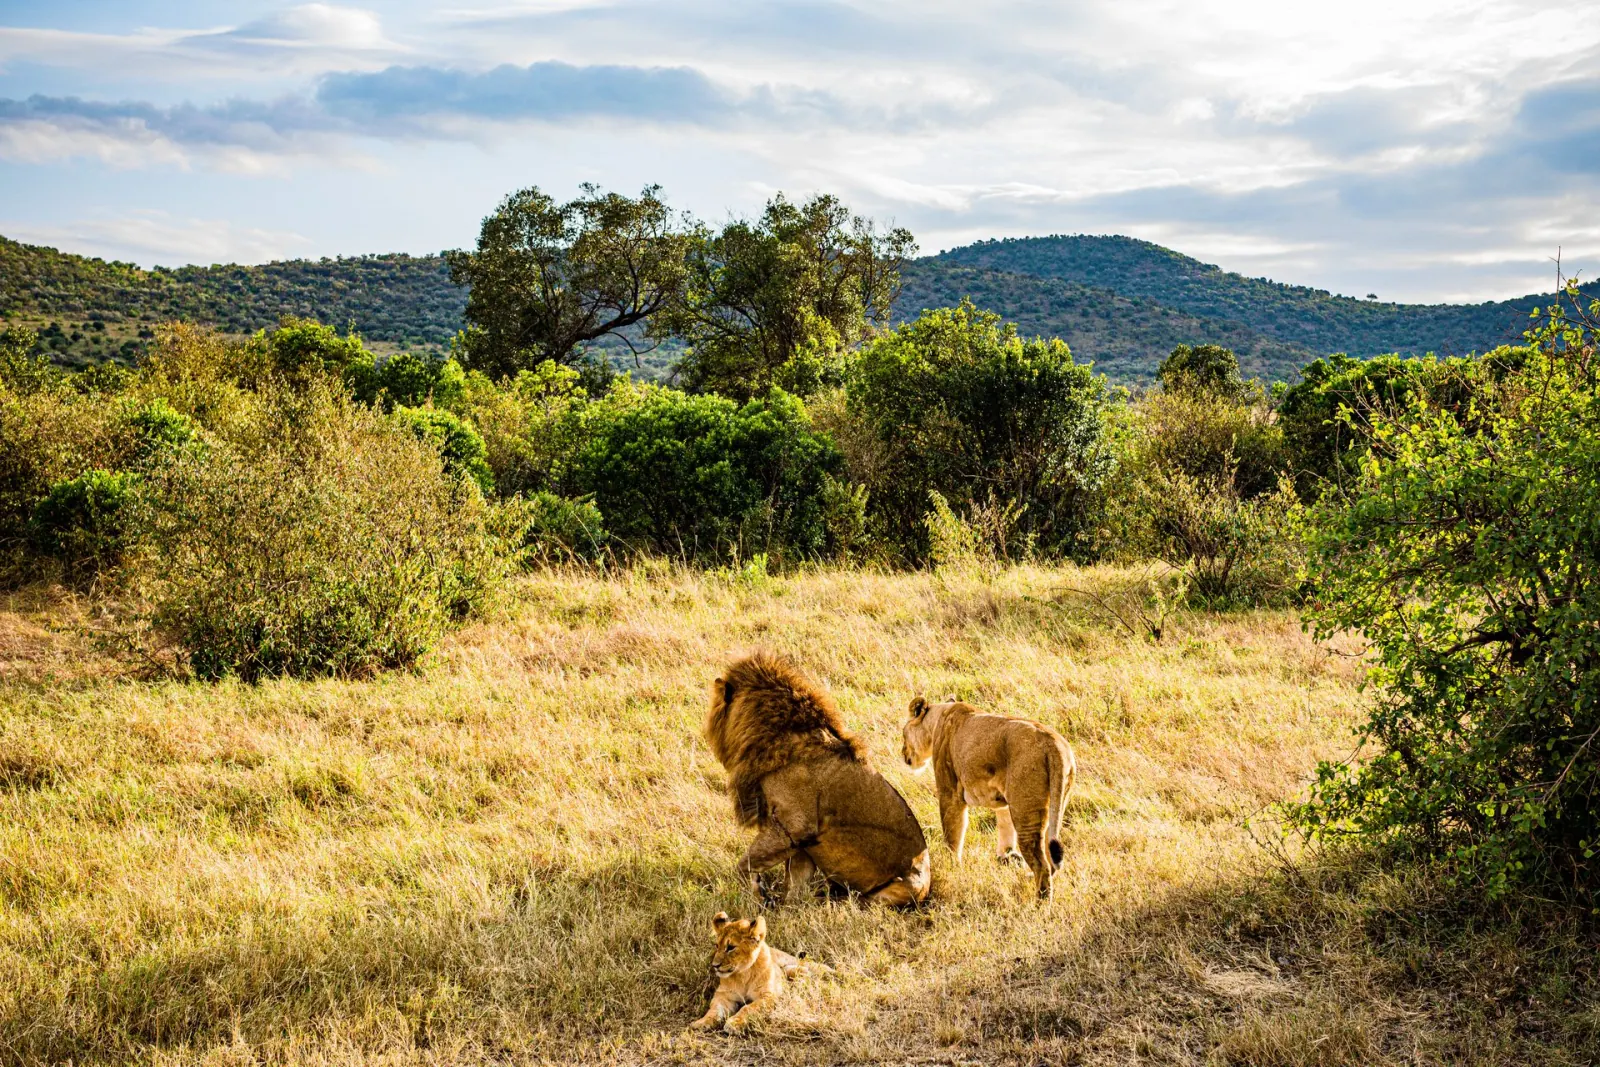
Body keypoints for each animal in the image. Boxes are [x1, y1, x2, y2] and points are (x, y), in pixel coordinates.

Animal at [689, 911, 829, 1034]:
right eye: (717, 946)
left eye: (730, 947)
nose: (715, 966)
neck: (742, 974)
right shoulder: (724, 996)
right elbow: (714, 1010)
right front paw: (701, 1022)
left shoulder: (768, 995)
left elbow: (748, 1008)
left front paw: (734, 1023)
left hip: (790, 960)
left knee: (810, 965)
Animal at [705, 651, 931, 907]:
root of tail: (927, 892)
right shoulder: (802, 842)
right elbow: (794, 882)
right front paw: (782, 906)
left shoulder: (796, 826)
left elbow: (746, 864)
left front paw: (756, 896)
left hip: (900, 889)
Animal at [901, 697, 1075, 899]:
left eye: (903, 735)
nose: (903, 753)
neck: (937, 719)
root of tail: (1053, 743)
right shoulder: (1004, 799)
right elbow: (1005, 827)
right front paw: (1005, 856)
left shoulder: (949, 793)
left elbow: (952, 835)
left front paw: (952, 868)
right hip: (1057, 802)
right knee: (1050, 858)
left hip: (1026, 812)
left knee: (1042, 865)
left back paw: (1040, 902)